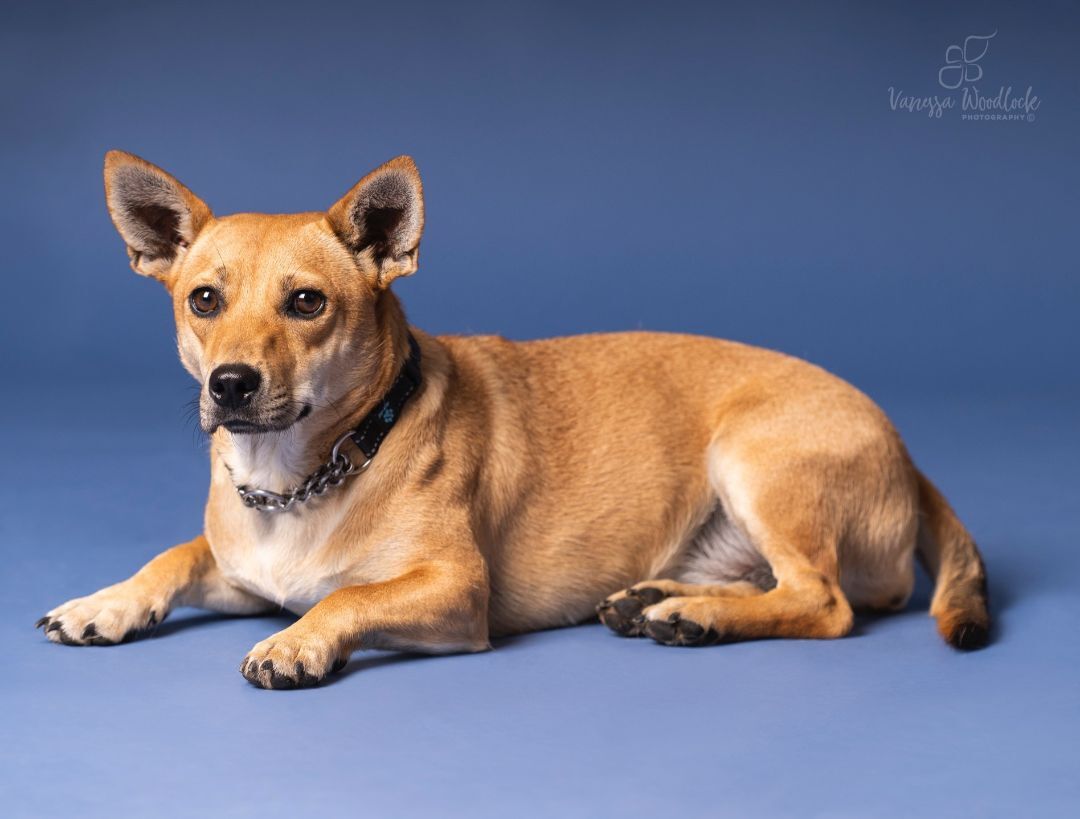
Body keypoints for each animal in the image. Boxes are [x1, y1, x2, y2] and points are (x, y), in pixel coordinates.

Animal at [38, 152, 989, 687]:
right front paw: (105, 603)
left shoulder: (455, 591)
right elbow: (171, 557)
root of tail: (905, 450)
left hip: (755, 456)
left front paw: (299, 641)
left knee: (824, 600)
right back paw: (666, 599)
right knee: (780, 586)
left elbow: (350, 595)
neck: (310, 469)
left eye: (307, 303)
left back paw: (699, 617)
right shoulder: (239, 568)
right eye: (203, 299)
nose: (230, 385)